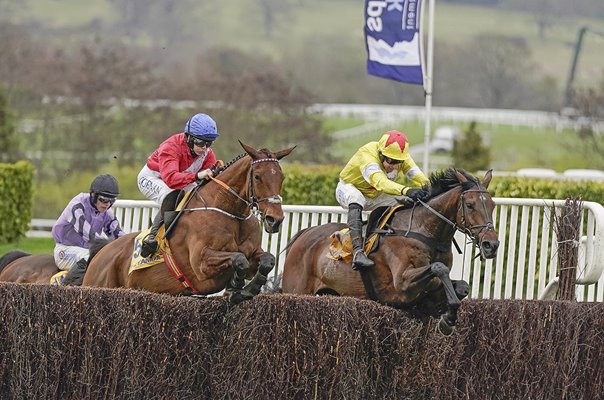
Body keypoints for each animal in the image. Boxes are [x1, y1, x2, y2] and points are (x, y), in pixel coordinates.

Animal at [82, 142, 294, 302]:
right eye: (257, 176)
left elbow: (268, 260)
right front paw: (236, 287)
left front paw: (247, 287)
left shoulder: (253, 254)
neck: (232, 214)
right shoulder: (201, 265)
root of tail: (101, 253)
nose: (275, 219)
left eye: (282, 177)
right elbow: (238, 259)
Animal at [284, 167, 500, 332]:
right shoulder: (402, 283)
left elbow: (461, 286)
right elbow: (439, 269)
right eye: (470, 205)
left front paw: (447, 317)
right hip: (297, 290)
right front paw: (448, 318)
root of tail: (304, 234)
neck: (425, 231)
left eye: (492, 205)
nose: (491, 245)